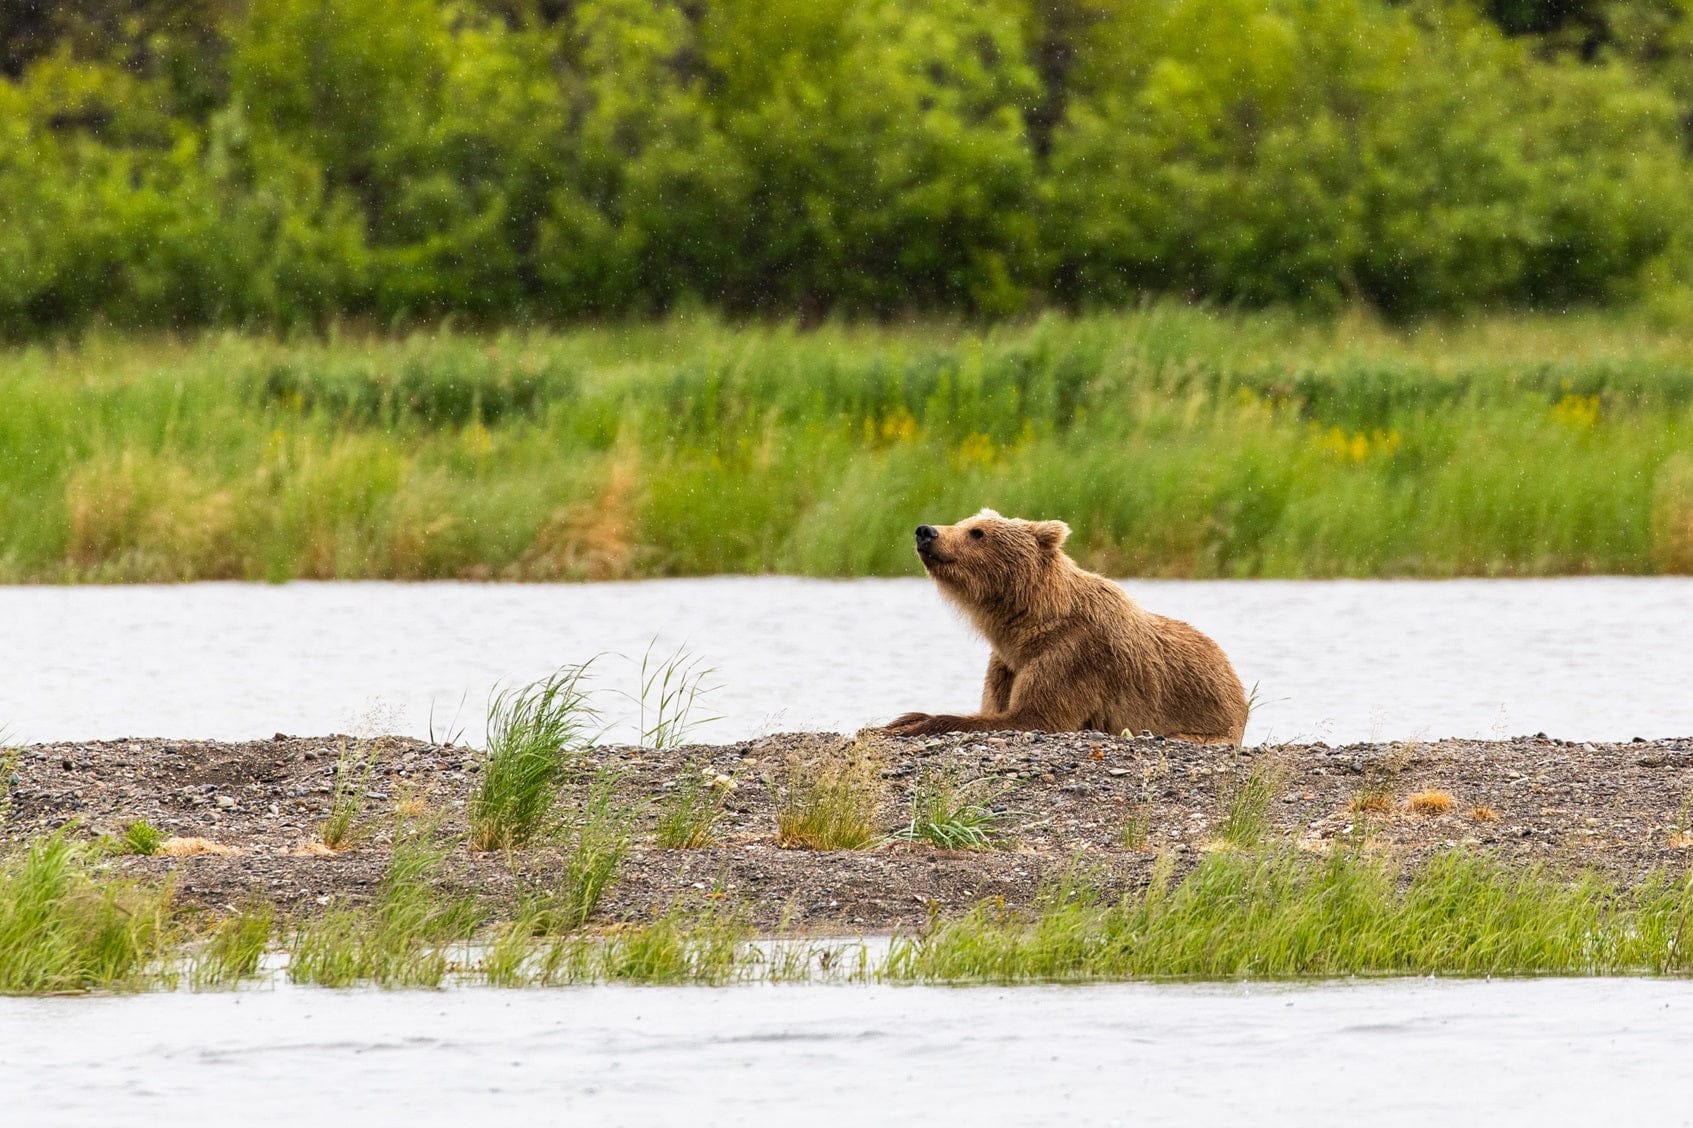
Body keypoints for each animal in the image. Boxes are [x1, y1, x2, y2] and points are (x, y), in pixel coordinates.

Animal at [878, 509, 1248, 743]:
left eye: (977, 532)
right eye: (964, 522)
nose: (927, 531)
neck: (1025, 624)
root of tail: (1234, 678)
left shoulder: (1073, 654)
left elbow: (1032, 717)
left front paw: (914, 725)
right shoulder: (1006, 663)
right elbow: (995, 704)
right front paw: (902, 719)